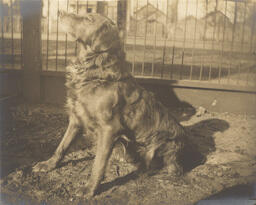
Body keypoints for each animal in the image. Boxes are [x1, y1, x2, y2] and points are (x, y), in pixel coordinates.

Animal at [33, 11, 186, 197]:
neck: (92, 69)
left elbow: (98, 164)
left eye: (88, 19)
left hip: (163, 142)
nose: (59, 12)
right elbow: (61, 146)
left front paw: (89, 189)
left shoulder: (109, 128)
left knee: (172, 168)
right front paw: (48, 164)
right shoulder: (76, 119)